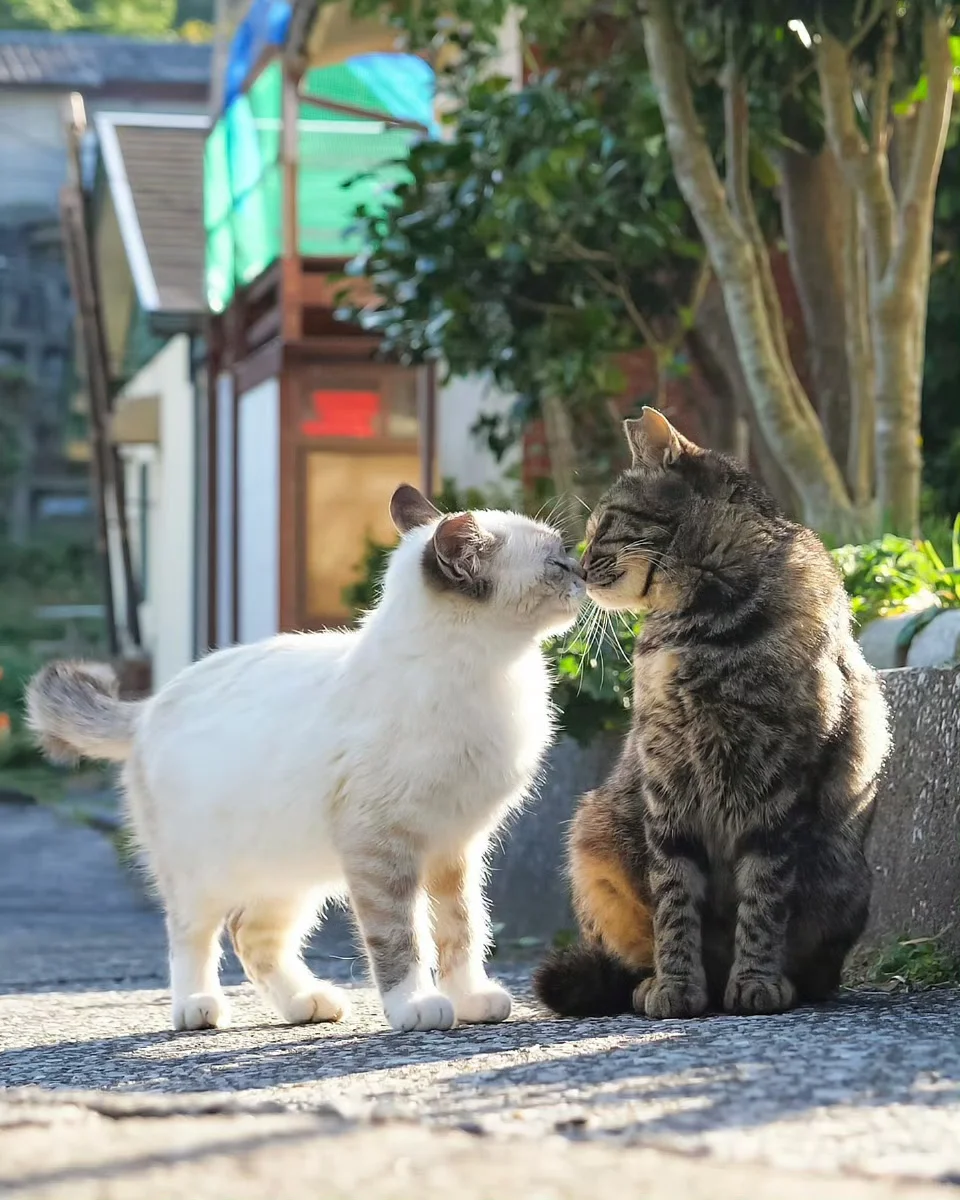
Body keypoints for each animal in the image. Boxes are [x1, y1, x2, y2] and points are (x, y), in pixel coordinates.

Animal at [26, 484, 585, 1032]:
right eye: (557, 563)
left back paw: (306, 1003)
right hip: (202, 875)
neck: (489, 674)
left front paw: (470, 999)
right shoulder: (383, 848)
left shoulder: (456, 847)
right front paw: (415, 1006)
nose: (582, 570)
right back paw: (198, 1008)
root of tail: (148, 705)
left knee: (251, 933)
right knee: (192, 933)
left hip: (290, 870)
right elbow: (401, 937)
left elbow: (462, 929)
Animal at [535, 408, 888, 1017]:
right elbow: (674, 895)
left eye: (605, 525)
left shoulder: (780, 780)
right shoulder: (666, 775)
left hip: (843, 878)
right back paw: (652, 982)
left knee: (817, 968)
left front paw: (757, 978)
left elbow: (764, 895)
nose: (575, 569)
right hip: (593, 833)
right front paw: (677, 985)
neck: (699, 624)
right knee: (627, 957)